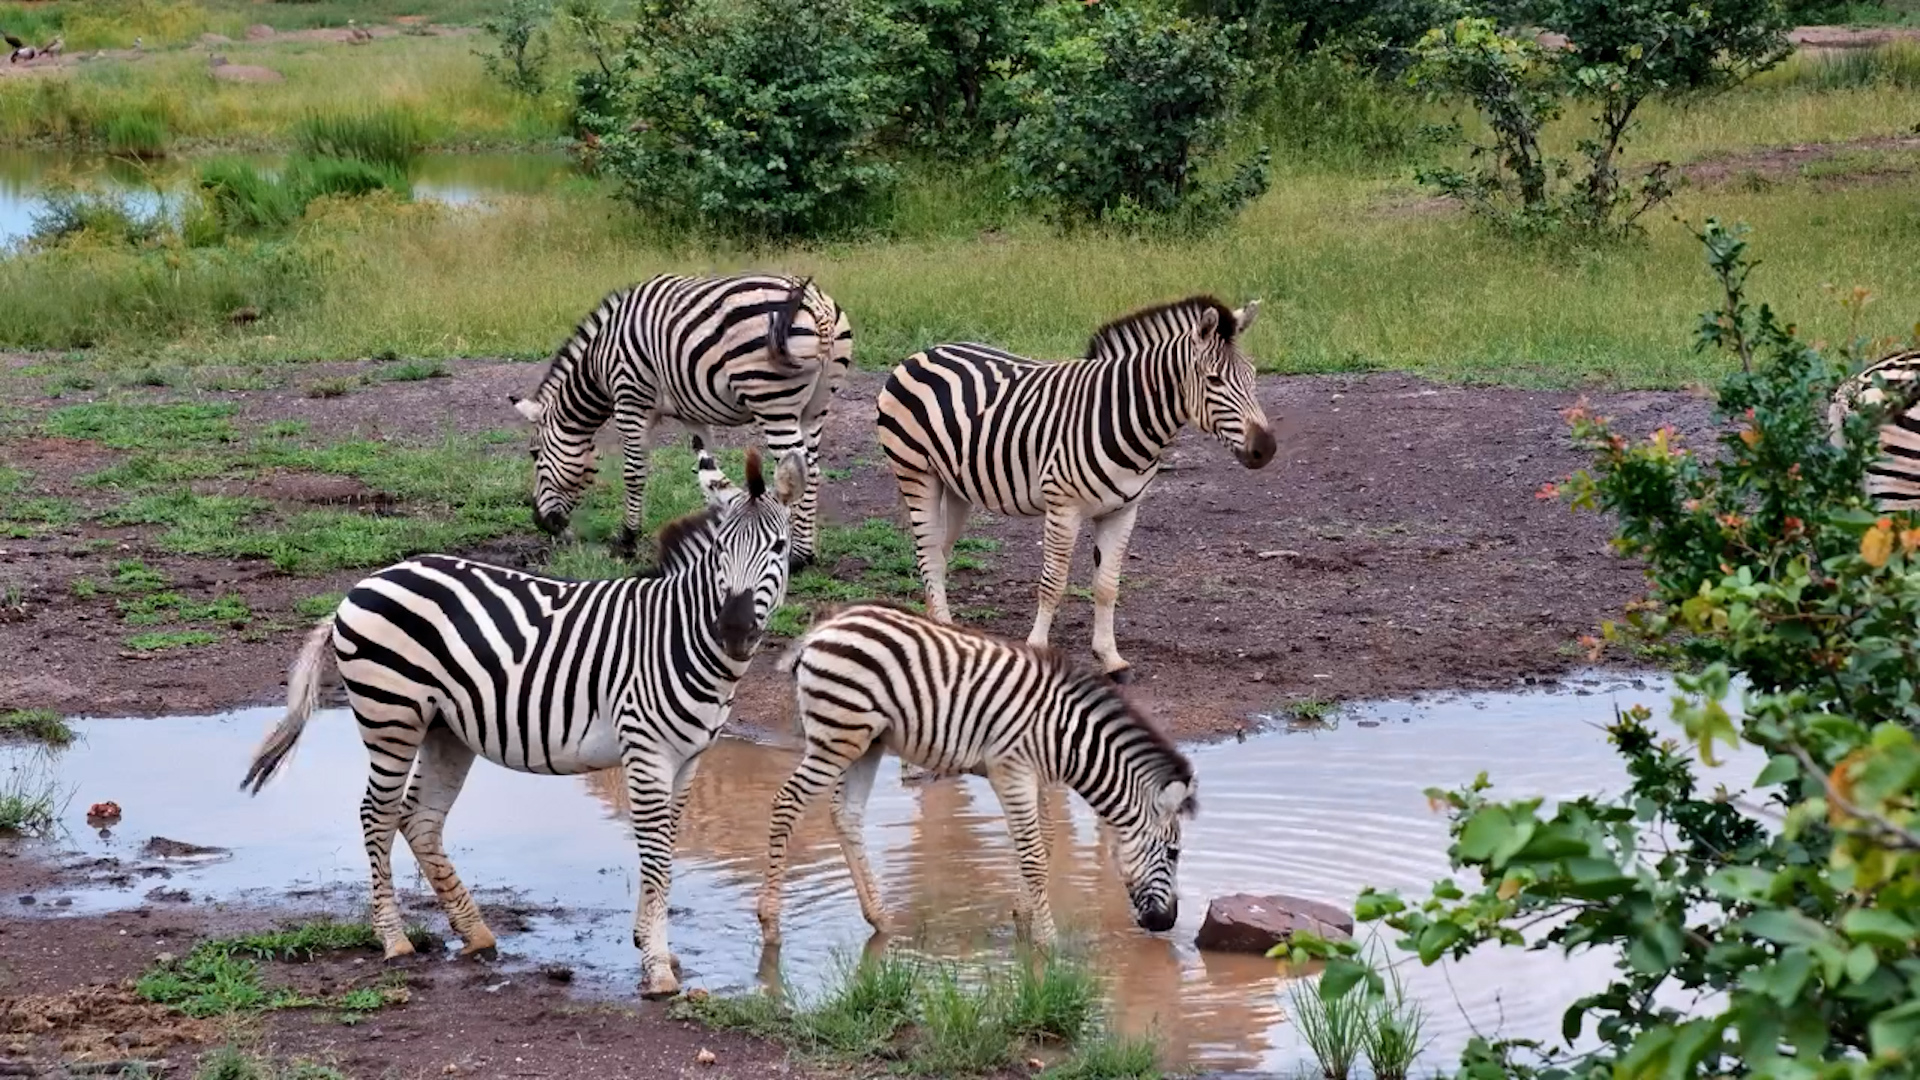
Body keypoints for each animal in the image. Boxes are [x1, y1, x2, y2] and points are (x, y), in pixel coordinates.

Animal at [239, 440, 806, 999]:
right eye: (720, 553)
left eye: (778, 548)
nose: (733, 630)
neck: (678, 636)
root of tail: (361, 586)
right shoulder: (645, 751)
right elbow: (656, 854)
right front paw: (657, 967)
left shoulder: (689, 759)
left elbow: (665, 849)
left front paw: (654, 949)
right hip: (391, 716)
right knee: (376, 814)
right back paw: (395, 940)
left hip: (445, 730)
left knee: (418, 818)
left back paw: (476, 934)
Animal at [509, 273, 854, 567]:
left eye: (535, 454)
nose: (541, 523)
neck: (599, 364)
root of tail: (817, 305)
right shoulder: (694, 416)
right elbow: (708, 475)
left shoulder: (631, 399)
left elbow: (634, 472)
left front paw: (627, 541)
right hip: (815, 407)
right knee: (813, 468)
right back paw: (804, 553)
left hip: (772, 401)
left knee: (798, 468)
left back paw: (797, 557)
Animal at [757, 603, 1196, 948]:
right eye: (1173, 853)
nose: (1168, 923)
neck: (1066, 738)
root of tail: (822, 629)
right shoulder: (1012, 771)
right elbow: (1034, 856)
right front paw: (1049, 942)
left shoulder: (1036, 778)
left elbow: (1046, 841)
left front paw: (1022, 915)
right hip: (837, 735)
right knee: (786, 802)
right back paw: (770, 924)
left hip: (867, 741)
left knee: (846, 815)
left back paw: (880, 920)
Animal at [875, 295, 1276, 681]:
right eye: (1214, 381)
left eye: (1254, 376)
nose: (1266, 449)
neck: (1122, 418)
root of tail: (924, 352)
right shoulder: (1063, 507)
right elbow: (1053, 581)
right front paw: (1038, 647)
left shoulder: (1123, 511)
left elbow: (1107, 586)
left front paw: (1112, 660)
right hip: (916, 473)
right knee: (928, 553)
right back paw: (942, 627)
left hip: (956, 486)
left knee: (940, 554)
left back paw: (937, 625)